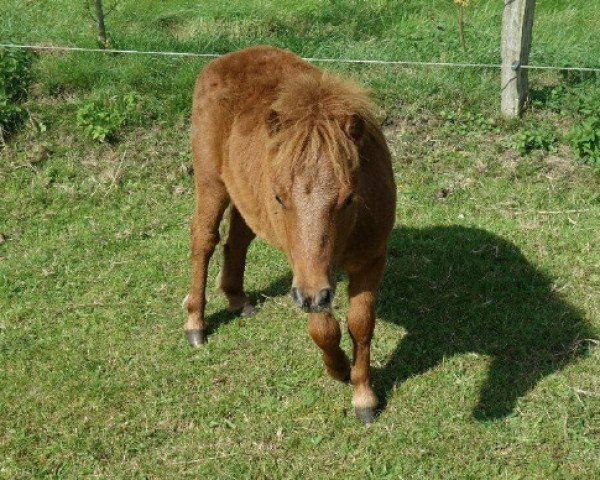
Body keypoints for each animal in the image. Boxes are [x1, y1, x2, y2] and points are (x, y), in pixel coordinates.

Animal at [185, 46, 396, 424]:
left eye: (349, 198)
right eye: (281, 197)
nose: (312, 296)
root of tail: (223, 60)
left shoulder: (370, 260)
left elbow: (361, 324)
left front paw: (364, 396)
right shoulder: (305, 272)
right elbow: (324, 329)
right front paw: (338, 368)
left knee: (237, 240)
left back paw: (237, 299)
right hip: (211, 181)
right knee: (204, 240)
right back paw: (195, 323)